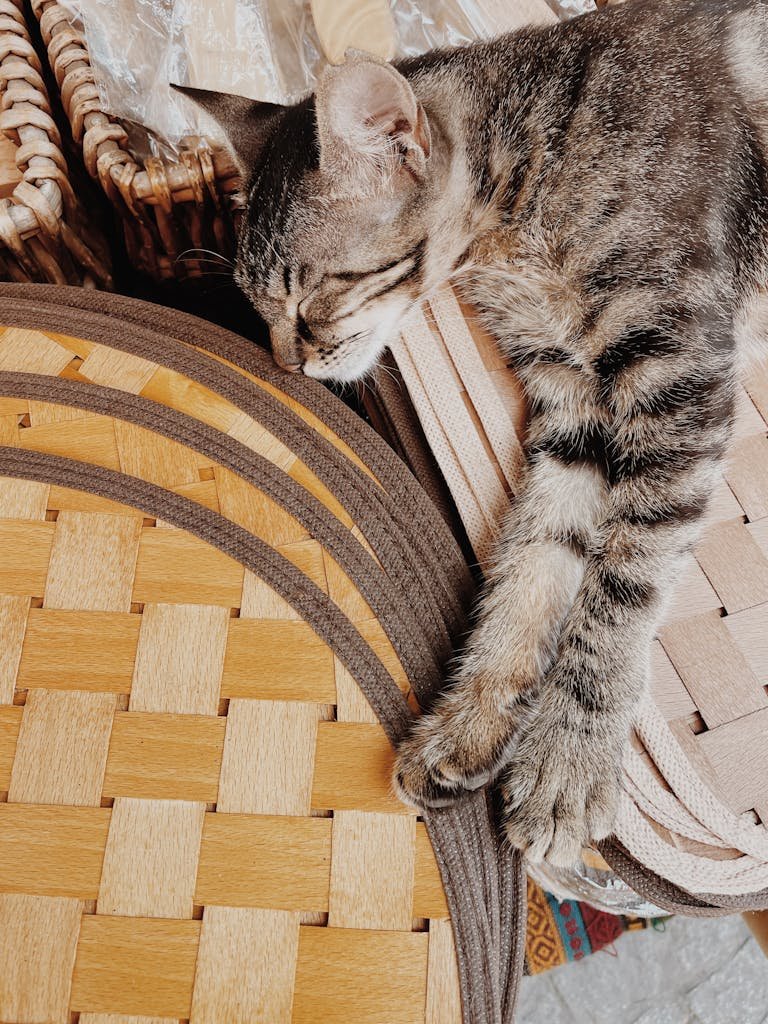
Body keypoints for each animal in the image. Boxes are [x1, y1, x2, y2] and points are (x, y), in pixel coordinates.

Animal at [183, 0, 768, 864]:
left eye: (313, 297)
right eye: (257, 306)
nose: (289, 365)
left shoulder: (678, 378)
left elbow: (622, 581)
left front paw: (568, 752)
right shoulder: (573, 407)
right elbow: (535, 558)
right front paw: (472, 719)